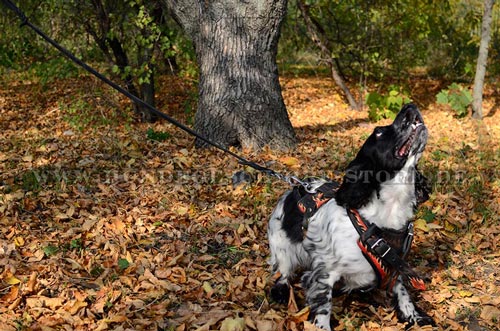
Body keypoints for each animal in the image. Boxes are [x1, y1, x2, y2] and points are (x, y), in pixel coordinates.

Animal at [268, 104, 436, 330]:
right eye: (378, 132)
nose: (410, 106)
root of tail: (295, 188)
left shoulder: (395, 263)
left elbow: (402, 291)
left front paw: (414, 316)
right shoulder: (324, 273)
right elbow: (323, 307)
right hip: (281, 245)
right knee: (283, 271)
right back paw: (281, 289)